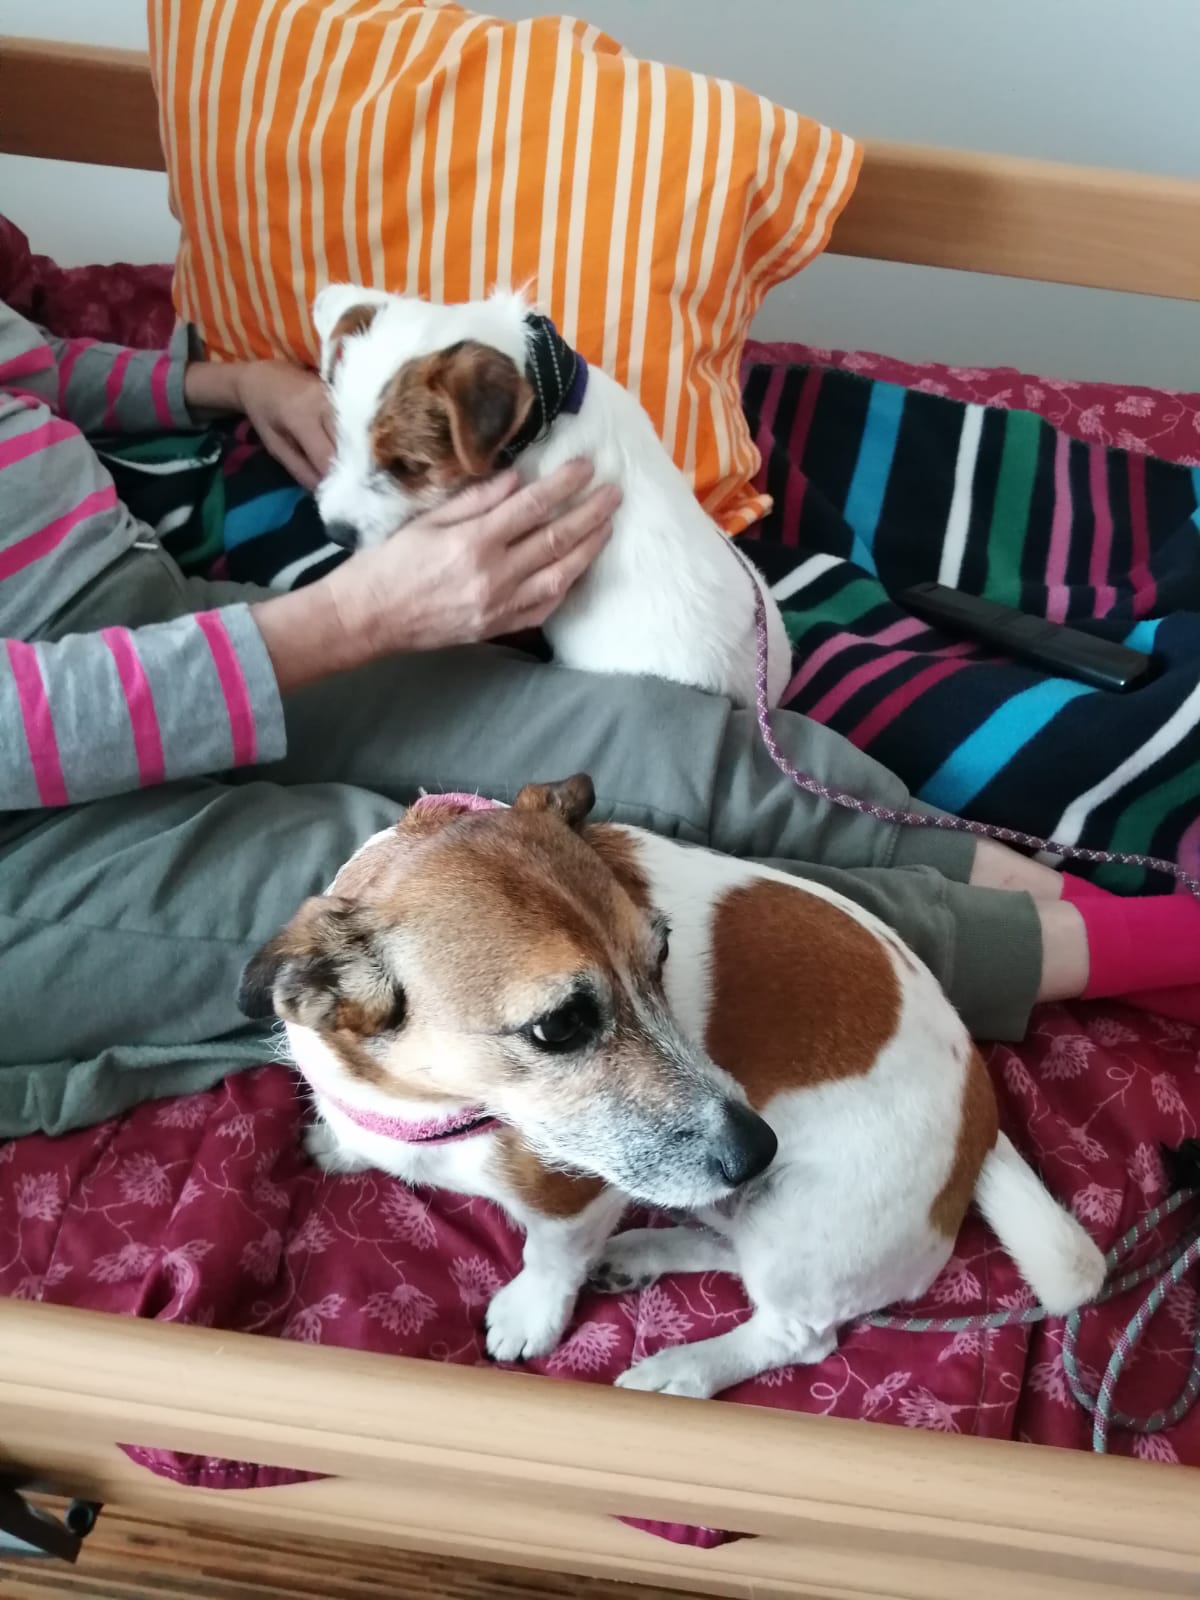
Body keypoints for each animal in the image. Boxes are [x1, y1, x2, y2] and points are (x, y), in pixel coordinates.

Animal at [237, 778, 1105, 1397]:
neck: (432, 1109)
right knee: (725, 1244)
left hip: (802, 1231)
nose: (759, 1148)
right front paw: (346, 1147)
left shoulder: (572, 1196)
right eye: (560, 1026)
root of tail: (981, 1123)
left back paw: (684, 1370)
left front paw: (532, 1314)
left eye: (661, 958)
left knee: (800, 1332)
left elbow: (550, 1259)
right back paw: (642, 1253)